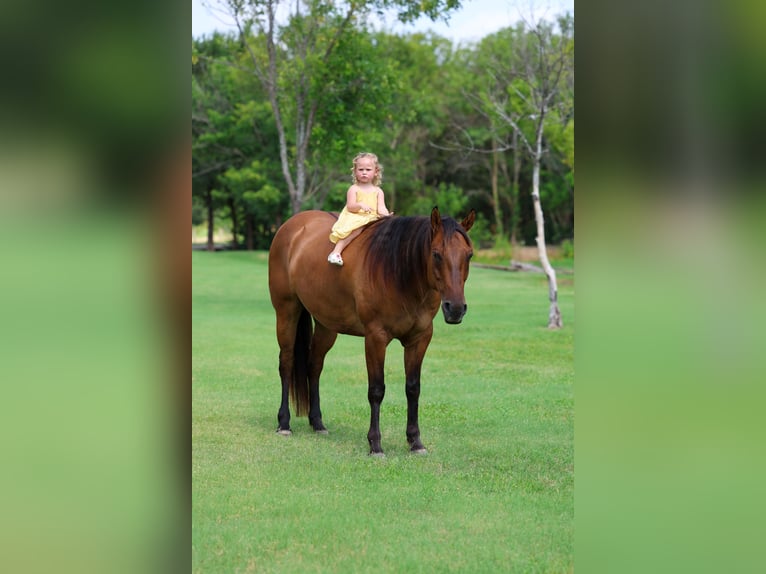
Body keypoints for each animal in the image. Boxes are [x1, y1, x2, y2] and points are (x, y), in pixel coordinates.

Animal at [267, 206, 475, 455]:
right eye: (436, 254)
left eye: (469, 255)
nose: (456, 308)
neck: (399, 272)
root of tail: (292, 225)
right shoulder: (375, 338)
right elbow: (376, 390)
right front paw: (375, 444)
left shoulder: (420, 339)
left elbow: (413, 388)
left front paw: (415, 441)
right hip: (287, 312)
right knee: (286, 363)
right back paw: (283, 423)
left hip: (327, 324)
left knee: (314, 366)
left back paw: (317, 422)